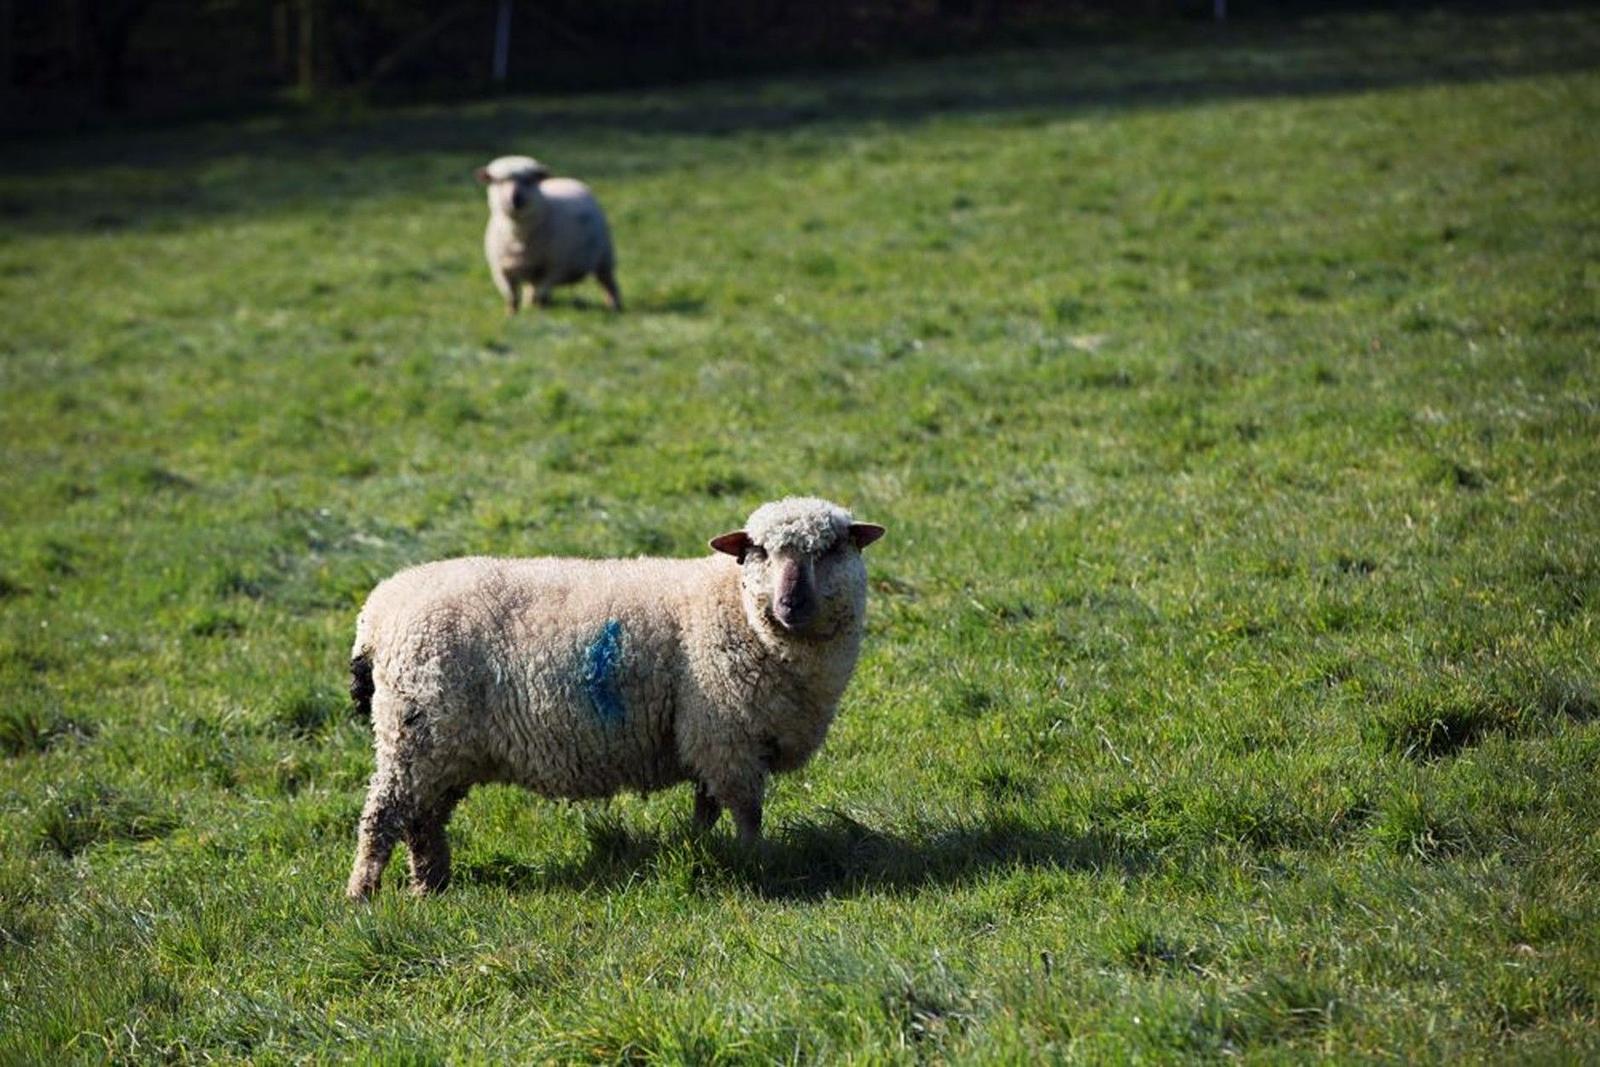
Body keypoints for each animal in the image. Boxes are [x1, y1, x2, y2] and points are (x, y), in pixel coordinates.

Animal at [345, 497, 885, 898]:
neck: (737, 609)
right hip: (413, 732)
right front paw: (755, 861)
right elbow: (747, 811)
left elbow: (707, 807)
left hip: (442, 744)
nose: (791, 603)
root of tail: (377, 611)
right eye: (760, 552)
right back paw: (363, 892)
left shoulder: (706, 737)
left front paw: (702, 848)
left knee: (424, 819)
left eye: (830, 549)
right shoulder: (727, 736)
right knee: (384, 814)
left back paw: (430, 885)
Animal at [476, 154, 622, 313]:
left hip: (604, 257)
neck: (517, 235)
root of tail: (566, 179)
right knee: (531, 289)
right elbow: (512, 298)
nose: (516, 198)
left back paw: (615, 307)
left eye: (529, 180)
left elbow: (540, 296)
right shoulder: (501, 271)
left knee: (608, 283)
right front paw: (512, 315)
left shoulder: (553, 269)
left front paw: (539, 314)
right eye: (498, 181)